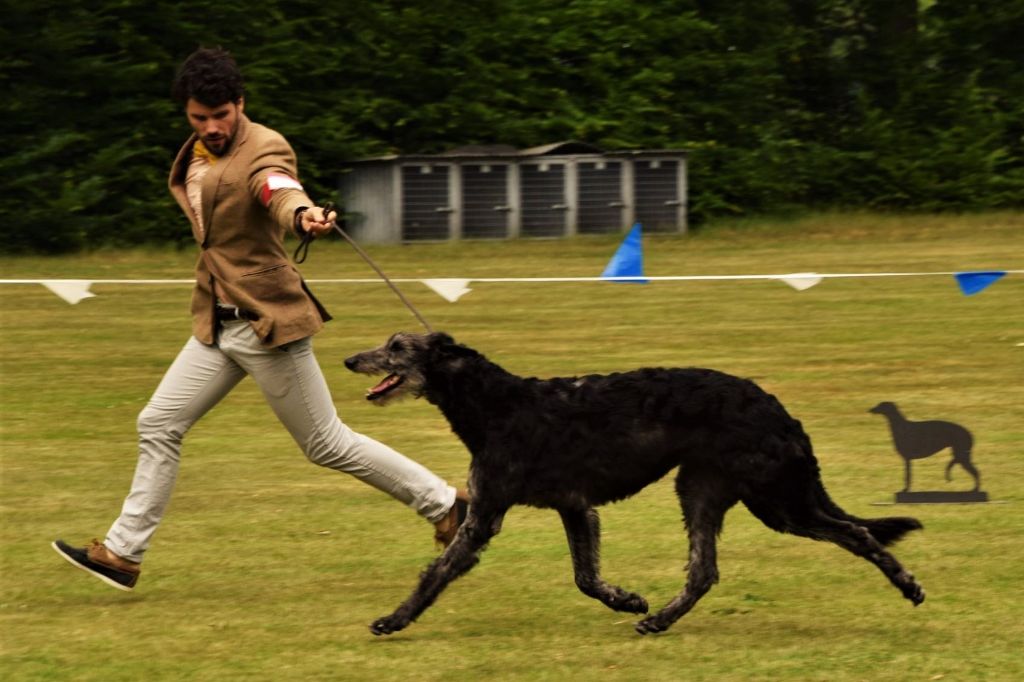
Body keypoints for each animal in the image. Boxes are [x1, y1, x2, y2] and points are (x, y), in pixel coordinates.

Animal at [346, 331, 929, 634]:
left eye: (396, 346)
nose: (350, 357)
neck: (495, 404)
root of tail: (780, 410)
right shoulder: (575, 506)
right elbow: (585, 577)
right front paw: (627, 600)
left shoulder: (489, 511)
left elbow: (439, 570)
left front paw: (395, 618)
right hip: (705, 488)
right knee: (705, 570)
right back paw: (661, 620)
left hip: (776, 499)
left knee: (858, 533)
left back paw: (908, 585)